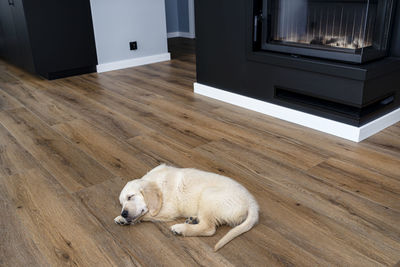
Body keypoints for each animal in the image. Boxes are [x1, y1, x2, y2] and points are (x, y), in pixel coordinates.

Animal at [114, 164, 260, 252]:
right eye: (121, 203)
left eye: (130, 197)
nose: (124, 213)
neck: (159, 184)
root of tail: (251, 203)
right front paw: (122, 218)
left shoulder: (168, 210)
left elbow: (145, 214)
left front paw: (123, 218)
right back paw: (193, 219)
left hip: (209, 195)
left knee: (209, 228)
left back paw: (181, 228)